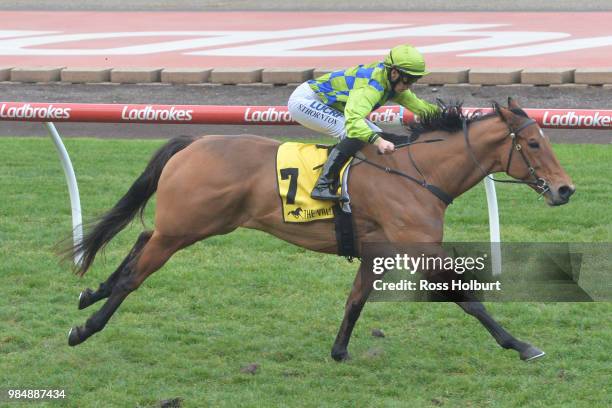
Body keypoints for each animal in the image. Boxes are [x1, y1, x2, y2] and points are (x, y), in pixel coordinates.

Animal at [65, 97, 572, 362]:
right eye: (532, 143)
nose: (565, 189)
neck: (417, 173)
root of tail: (194, 141)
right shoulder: (421, 247)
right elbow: (467, 298)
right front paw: (520, 344)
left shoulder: (377, 249)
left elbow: (356, 300)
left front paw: (340, 351)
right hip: (187, 226)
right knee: (136, 275)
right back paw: (86, 327)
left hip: (189, 223)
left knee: (141, 239)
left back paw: (91, 293)